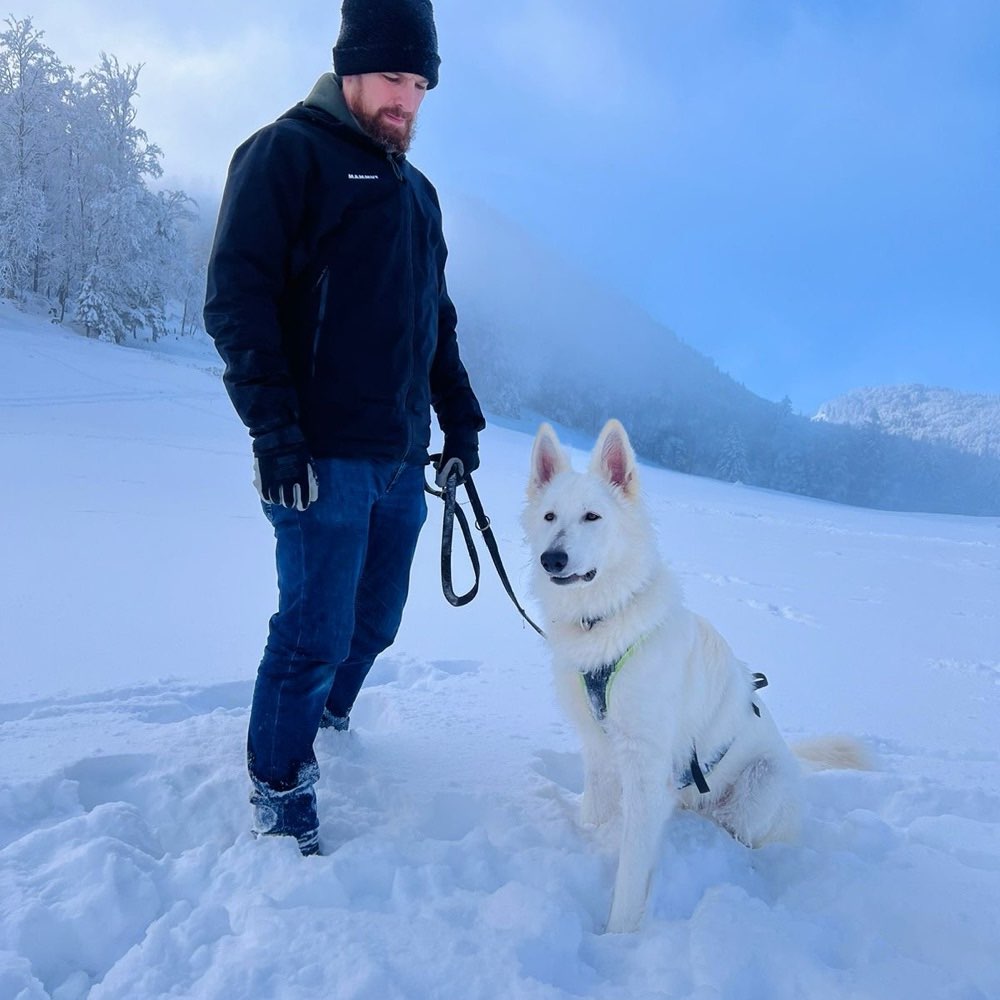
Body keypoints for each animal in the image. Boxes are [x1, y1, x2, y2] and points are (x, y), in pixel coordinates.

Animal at [524, 418, 868, 932]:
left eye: (592, 517)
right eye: (549, 517)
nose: (553, 559)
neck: (605, 621)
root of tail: (794, 765)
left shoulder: (645, 766)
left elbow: (631, 871)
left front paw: (618, 935)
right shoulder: (600, 751)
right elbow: (595, 816)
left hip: (758, 788)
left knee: (740, 835)